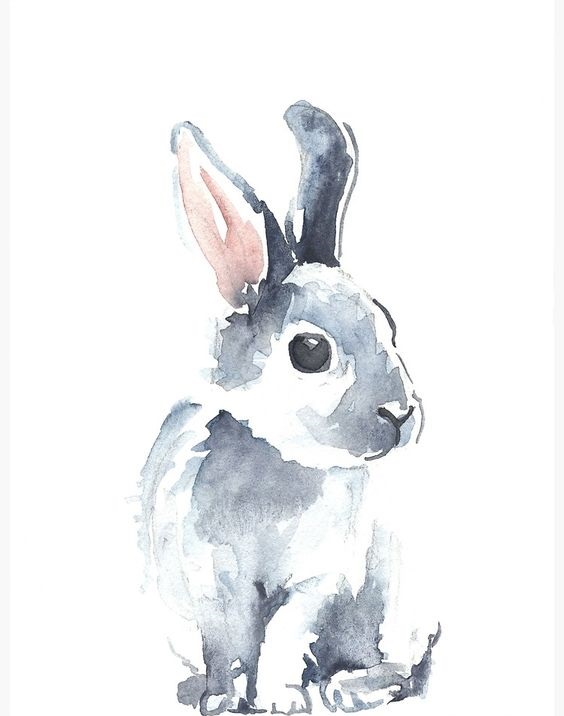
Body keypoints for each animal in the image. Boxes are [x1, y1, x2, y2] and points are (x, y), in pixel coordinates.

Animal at [138, 101, 439, 715]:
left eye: (389, 325)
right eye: (310, 351)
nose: (401, 415)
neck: (284, 460)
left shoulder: (316, 582)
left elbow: (283, 636)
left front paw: (279, 702)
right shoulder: (215, 583)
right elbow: (230, 643)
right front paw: (225, 699)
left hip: (401, 599)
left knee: (403, 664)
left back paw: (349, 689)